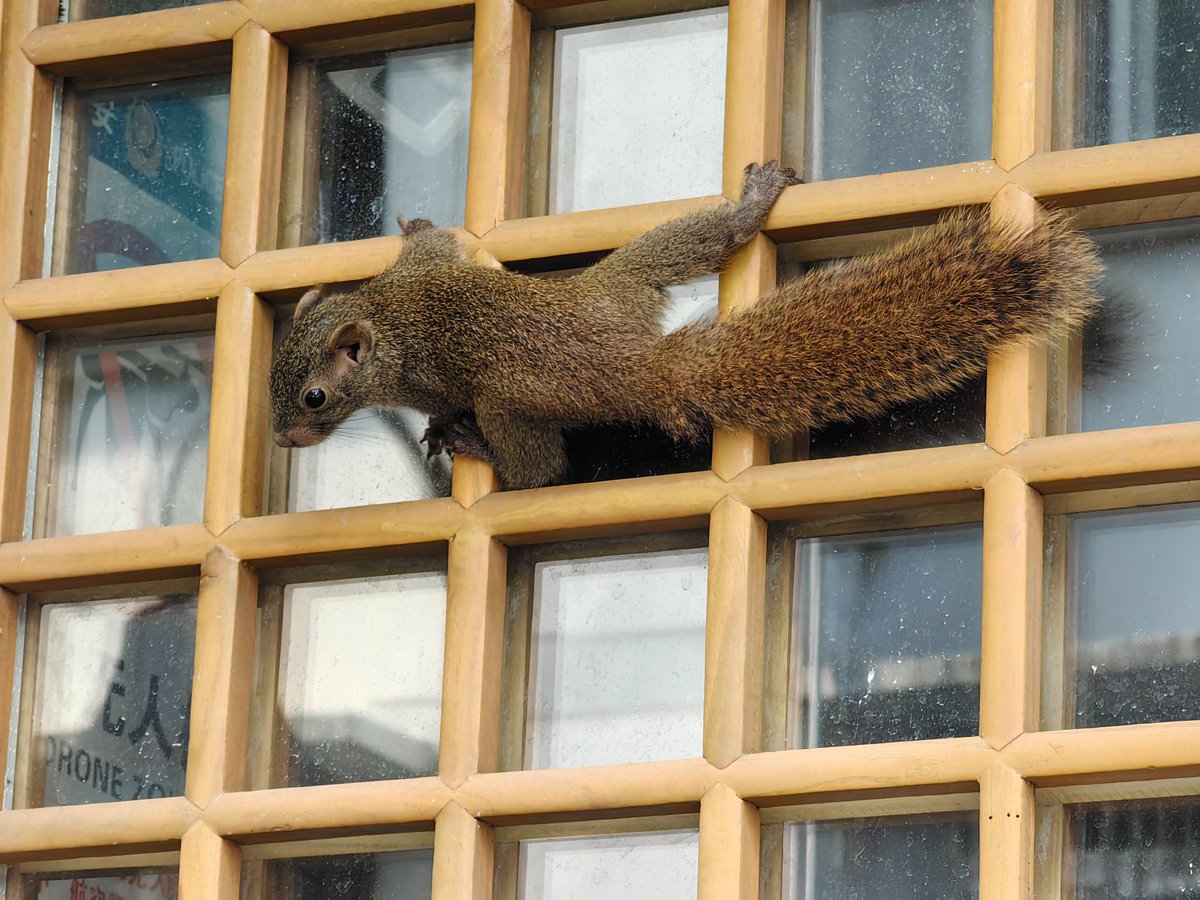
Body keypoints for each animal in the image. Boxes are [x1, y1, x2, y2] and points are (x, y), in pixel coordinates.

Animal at [269, 161, 1103, 490]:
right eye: (274, 375)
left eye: (313, 398)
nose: (285, 439)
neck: (379, 315)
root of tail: (643, 364)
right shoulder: (414, 273)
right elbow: (434, 245)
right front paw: (417, 223)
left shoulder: (416, 363)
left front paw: (443, 424)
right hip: (622, 286)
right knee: (679, 249)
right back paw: (745, 213)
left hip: (518, 392)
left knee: (543, 467)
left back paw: (477, 444)